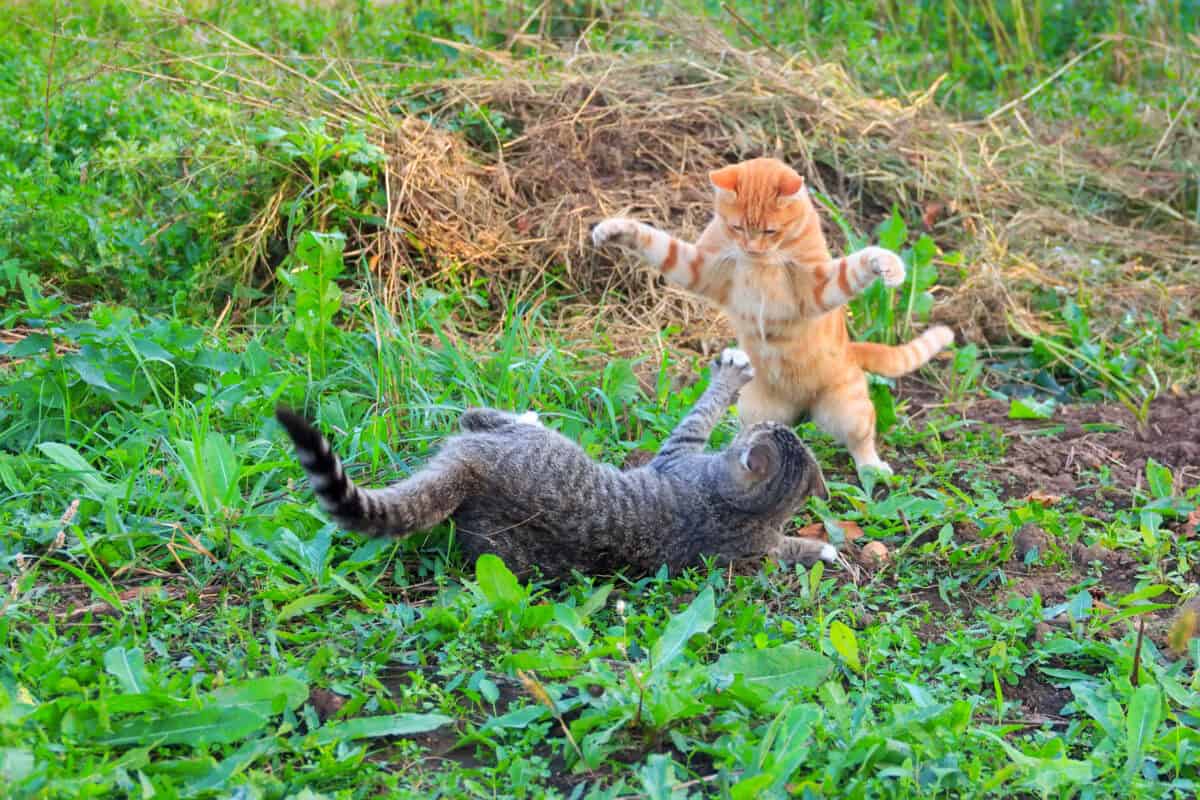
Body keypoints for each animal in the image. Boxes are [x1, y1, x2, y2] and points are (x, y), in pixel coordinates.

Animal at [274, 347, 835, 578]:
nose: (755, 423)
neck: (746, 511)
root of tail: (472, 470)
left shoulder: (681, 453)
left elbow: (702, 410)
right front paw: (821, 549)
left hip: (518, 450)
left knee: (474, 416)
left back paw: (518, 415)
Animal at [592, 159, 955, 479]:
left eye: (770, 230)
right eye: (737, 227)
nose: (752, 248)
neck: (760, 263)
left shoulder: (817, 289)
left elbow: (854, 267)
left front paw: (886, 264)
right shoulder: (699, 267)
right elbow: (658, 243)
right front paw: (614, 229)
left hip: (848, 409)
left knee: (861, 439)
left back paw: (872, 468)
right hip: (756, 408)